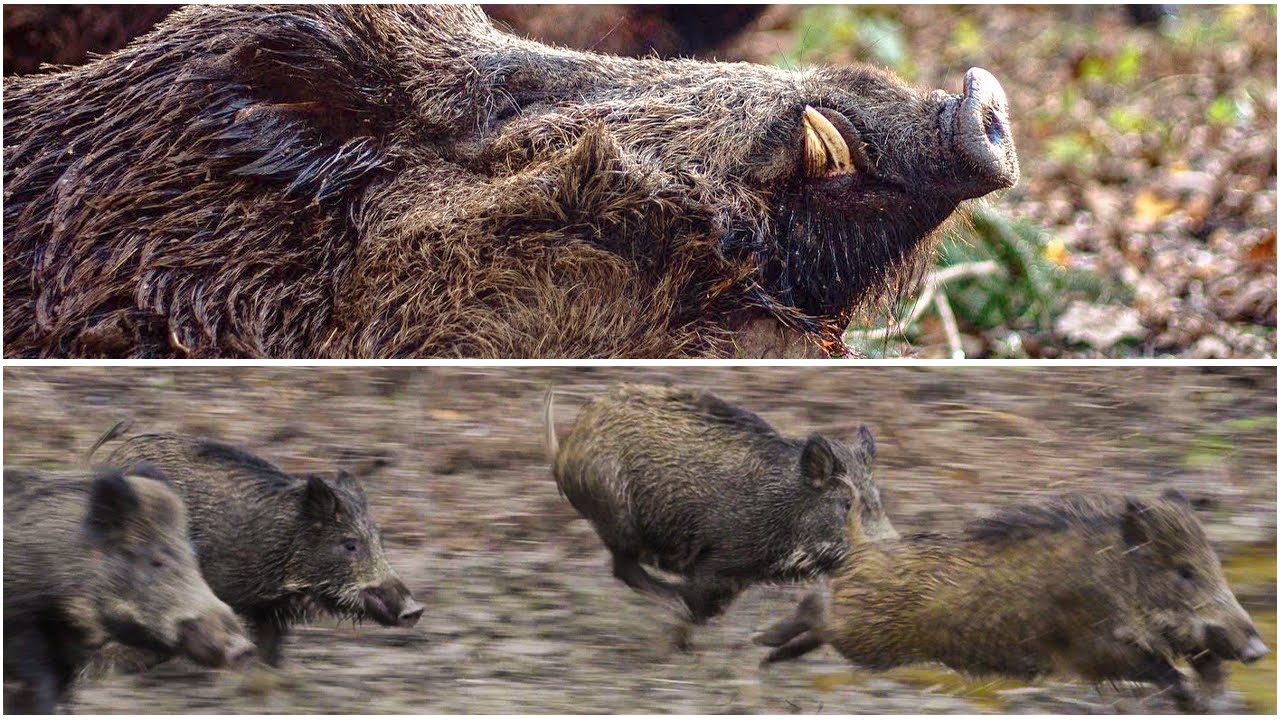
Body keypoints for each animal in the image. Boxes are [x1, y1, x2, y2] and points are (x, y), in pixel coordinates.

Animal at [545, 384, 897, 647]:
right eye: (845, 504)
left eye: (877, 498)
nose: (890, 552)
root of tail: (567, 445)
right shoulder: (719, 564)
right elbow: (698, 607)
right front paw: (680, 642)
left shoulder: (741, 574)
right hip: (620, 520)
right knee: (624, 569)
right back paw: (671, 600)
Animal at [757, 491, 1269, 712]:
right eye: (1184, 572)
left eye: (1216, 564)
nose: (1259, 650)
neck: (1113, 579)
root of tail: (862, 548)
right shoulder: (1089, 648)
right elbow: (1158, 668)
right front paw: (1194, 699)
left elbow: (1198, 663)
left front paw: (1215, 701)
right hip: (866, 637)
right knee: (815, 610)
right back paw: (762, 646)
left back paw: (767, 657)